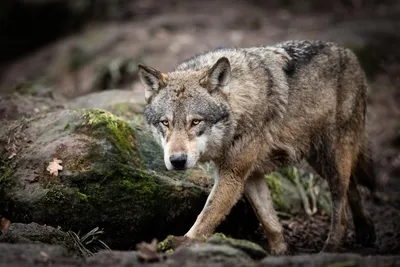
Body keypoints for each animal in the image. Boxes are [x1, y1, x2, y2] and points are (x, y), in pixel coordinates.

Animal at [137, 40, 376, 255]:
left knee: (341, 209)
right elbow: (270, 222)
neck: (238, 108)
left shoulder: (232, 175)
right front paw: (280, 253)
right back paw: (366, 233)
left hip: (333, 159)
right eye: (165, 122)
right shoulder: (250, 175)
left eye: (195, 122)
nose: (177, 161)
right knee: (352, 189)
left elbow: (205, 218)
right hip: (319, 160)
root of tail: (349, 53)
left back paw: (330, 250)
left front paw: (176, 246)